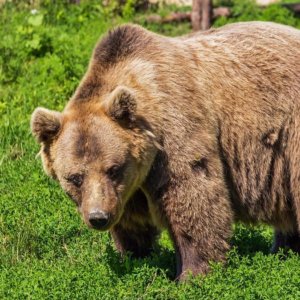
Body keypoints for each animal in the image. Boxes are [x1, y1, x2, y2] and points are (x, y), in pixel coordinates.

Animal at [31, 21, 300, 282]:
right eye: (75, 177)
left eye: (113, 169)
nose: (98, 217)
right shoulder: (130, 187)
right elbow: (131, 222)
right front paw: (133, 256)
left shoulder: (176, 132)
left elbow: (192, 198)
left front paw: (192, 274)